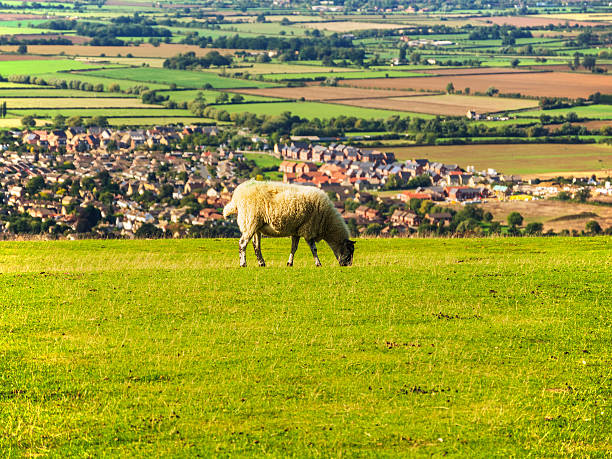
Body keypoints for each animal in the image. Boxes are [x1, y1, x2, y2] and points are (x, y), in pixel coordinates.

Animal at [221, 179, 354, 268]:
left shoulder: (297, 230)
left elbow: (294, 248)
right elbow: (314, 249)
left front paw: (290, 263)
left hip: (256, 226)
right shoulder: (308, 229)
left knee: (256, 245)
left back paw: (261, 263)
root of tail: (237, 195)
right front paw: (318, 263)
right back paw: (243, 263)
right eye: (349, 251)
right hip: (249, 222)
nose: (347, 265)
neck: (327, 222)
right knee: (242, 243)